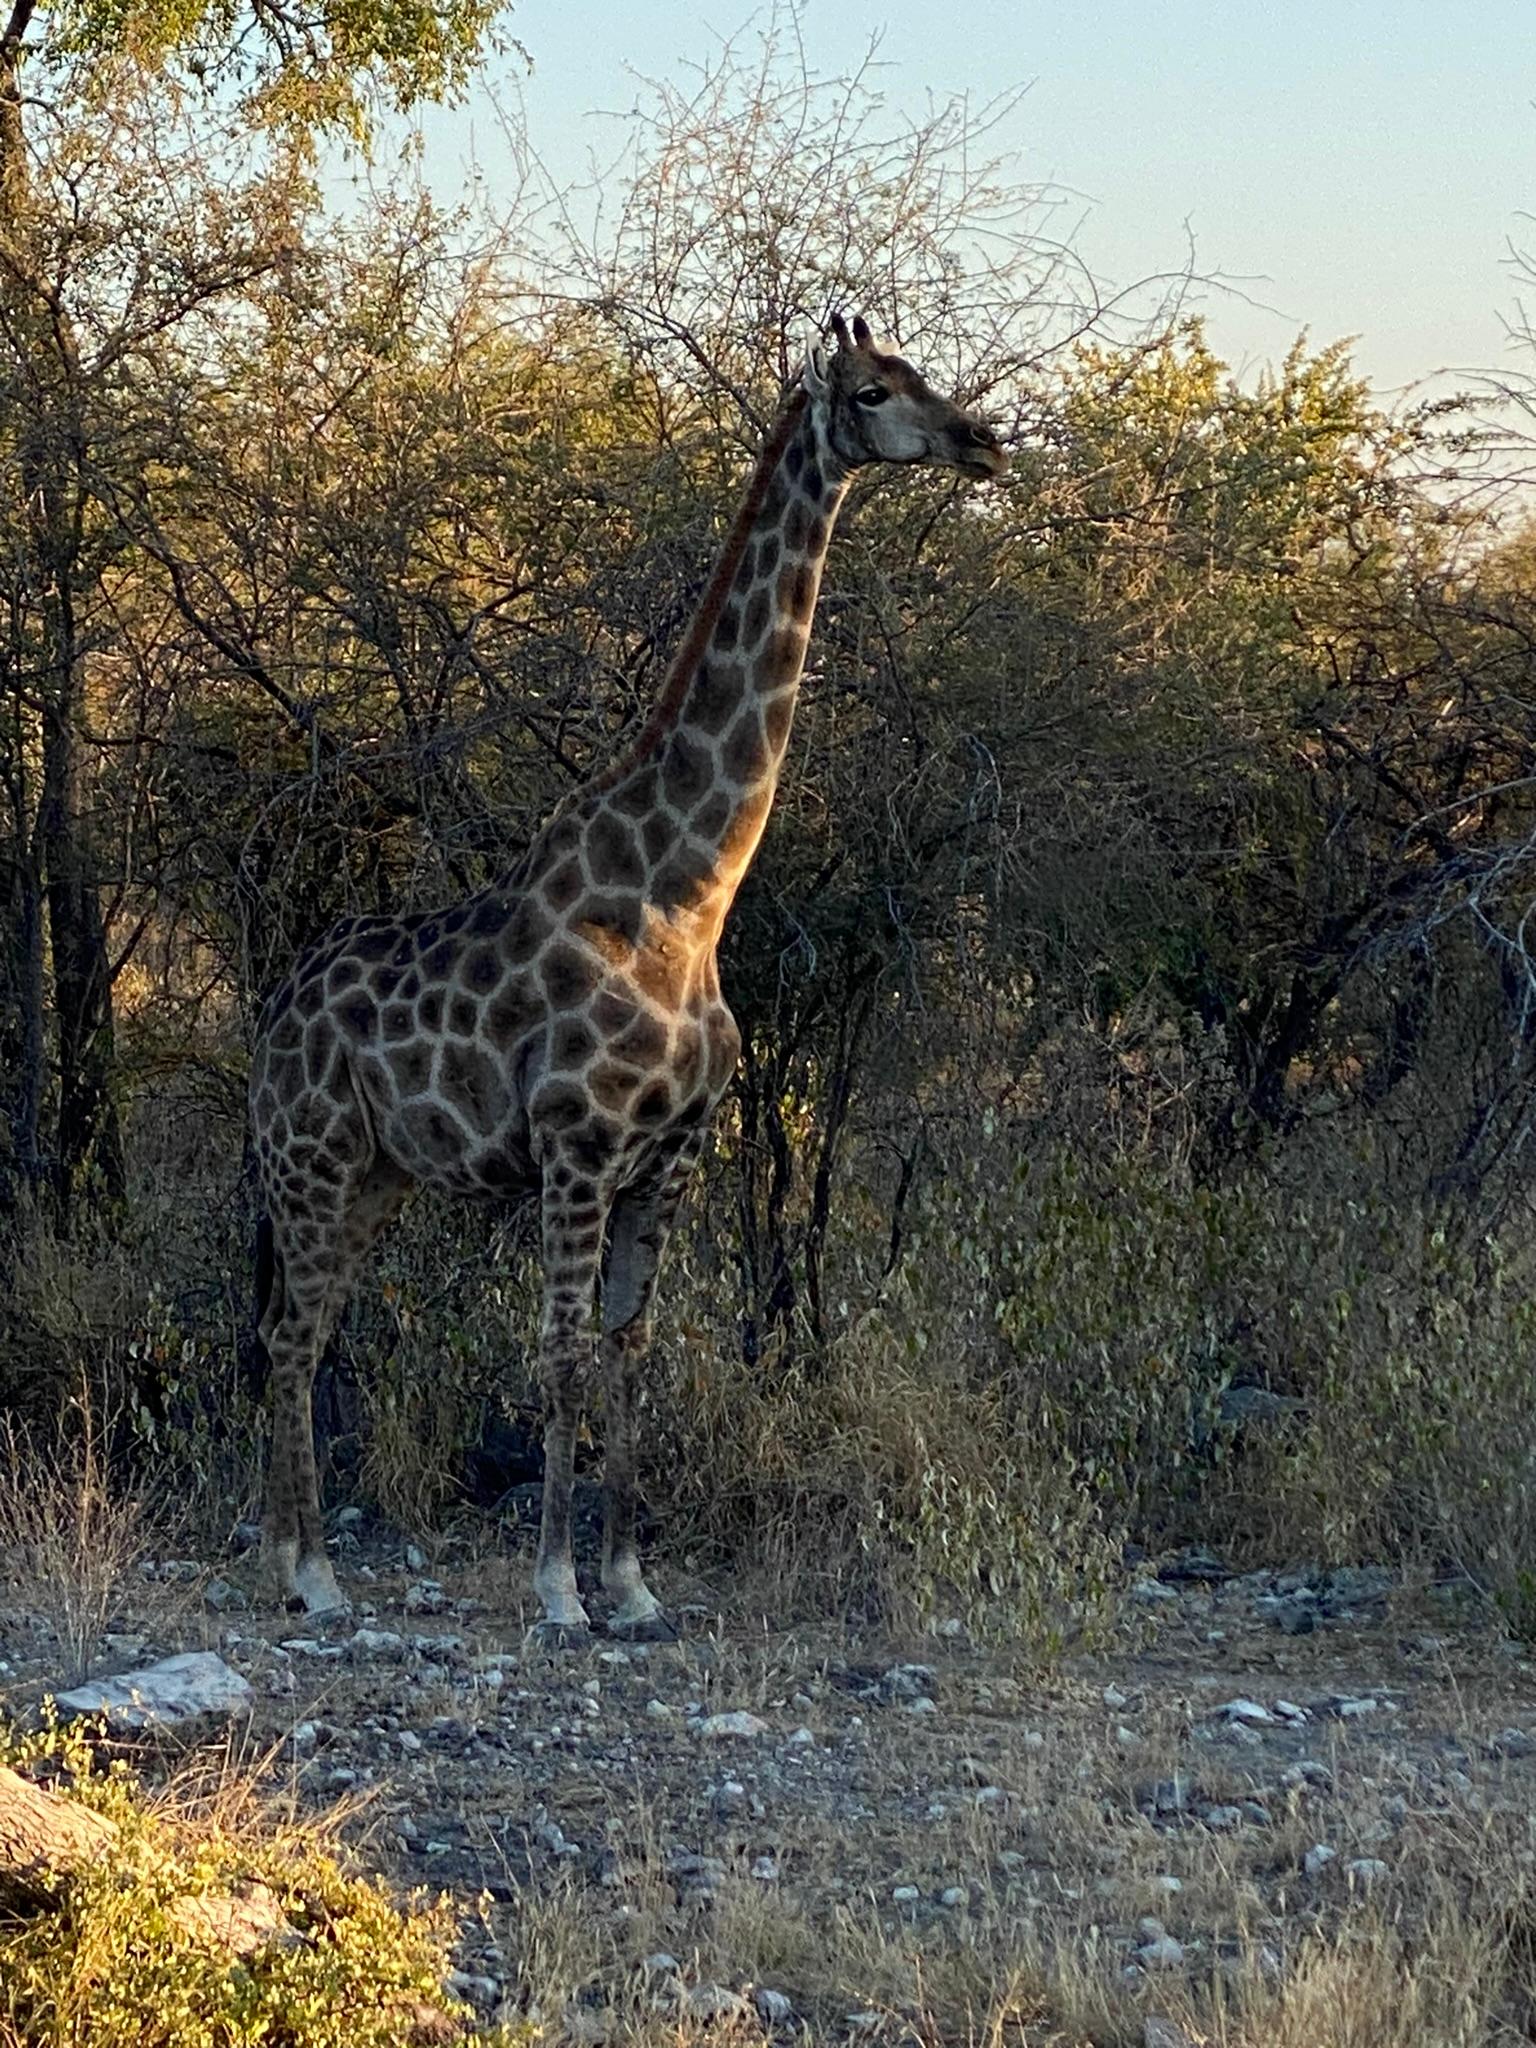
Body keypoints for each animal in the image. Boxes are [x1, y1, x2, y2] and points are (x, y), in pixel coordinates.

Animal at [250, 315, 1011, 1630]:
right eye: (872, 391)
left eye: (920, 373)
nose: (981, 439)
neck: (688, 899)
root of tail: (272, 1017)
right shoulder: (578, 1145)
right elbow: (558, 1355)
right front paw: (557, 1585)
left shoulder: (673, 1157)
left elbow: (630, 1353)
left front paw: (633, 1581)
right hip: (313, 1159)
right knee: (293, 1340)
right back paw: (313, 1574)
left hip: (377, 1176)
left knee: (307, 1331)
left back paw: (308, 1564)